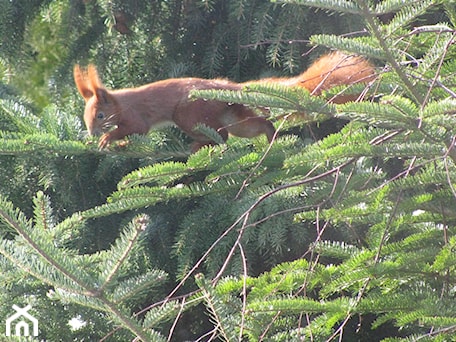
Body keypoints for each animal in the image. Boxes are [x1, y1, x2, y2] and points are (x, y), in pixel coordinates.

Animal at [75, 51, 374, 150]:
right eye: (85, 116)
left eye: (99, 115)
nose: (90, 131)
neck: (120, 103)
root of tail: (226, 88)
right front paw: (117, 144)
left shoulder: (136, 117)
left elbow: (135, 129)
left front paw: (108, 139)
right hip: (235, 119)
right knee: (255, 126)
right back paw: (271, 139)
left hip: (189, 115)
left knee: (222, 137)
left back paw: (197, 146)